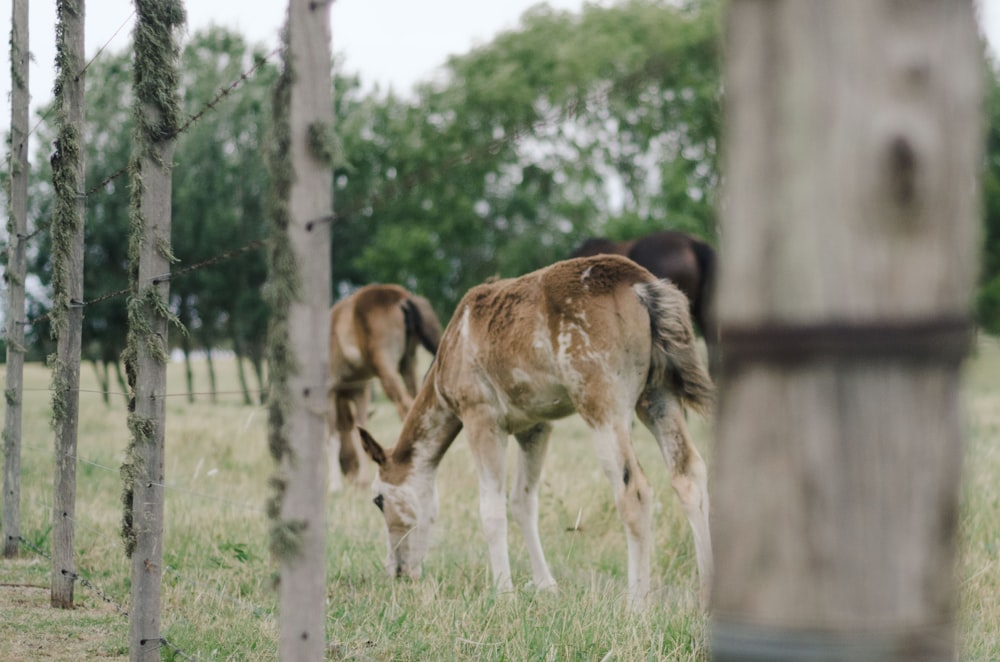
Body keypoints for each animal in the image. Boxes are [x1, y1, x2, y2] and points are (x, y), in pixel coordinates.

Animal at [328, 286, 442, 492]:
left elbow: (333, 437)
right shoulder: (360, 391)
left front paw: (335, 485)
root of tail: (402, 298)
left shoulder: (329, 392)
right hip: (408, 364)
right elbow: (358, 427)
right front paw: (363, 480)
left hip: (387, 370)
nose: (351, 474)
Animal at [360, 255, 720, 612]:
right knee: (689, 474)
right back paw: (706, 598)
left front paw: (503, 592)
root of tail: (642, 287)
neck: (449, 354)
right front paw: (546, 585)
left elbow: (491, 508)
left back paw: (636, 604)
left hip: (602, 405)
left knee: (634, 490)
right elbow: (522, 502)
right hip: (658, 396)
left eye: (378, 499)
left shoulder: (481, 417)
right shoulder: (535, 426)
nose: (397, 570)